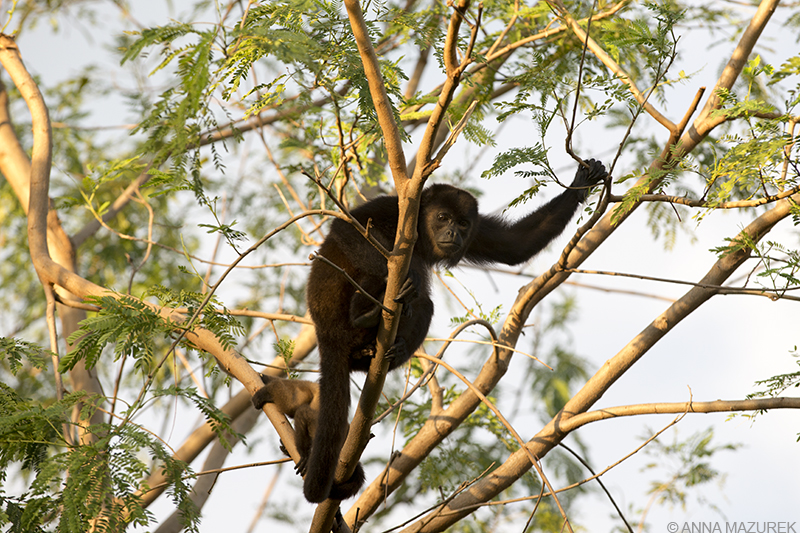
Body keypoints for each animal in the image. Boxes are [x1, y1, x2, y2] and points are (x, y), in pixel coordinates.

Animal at [255, 158, 608, 502]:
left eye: (462, 223)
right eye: (442, 217)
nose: (453, 231)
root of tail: (324, 331)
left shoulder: (476, 231)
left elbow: (514, 246)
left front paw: (582, 181)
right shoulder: (395, 207)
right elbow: (347, 228)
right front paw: (402, 275)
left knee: (425, 307)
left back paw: (383, 350)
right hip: (339, 312)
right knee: (380, 274)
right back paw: (368, 313)